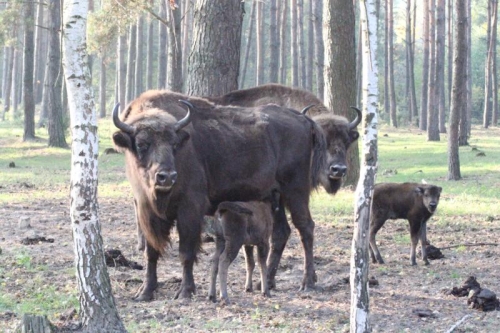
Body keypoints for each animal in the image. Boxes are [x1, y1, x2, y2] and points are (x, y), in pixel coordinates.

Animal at [111, 100, 326, 298]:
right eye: (141, 144)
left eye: (174, 144)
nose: (167, 176)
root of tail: (303, 119)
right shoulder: (147, 212)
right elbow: (151, 252)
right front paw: (145, 291)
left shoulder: (189, 210)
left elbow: (186, 252)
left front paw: (185, 291)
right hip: (276, 197)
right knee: (281, 232)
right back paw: (266, 283)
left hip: (295, 192)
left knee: (305, 227)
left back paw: (307, 282)